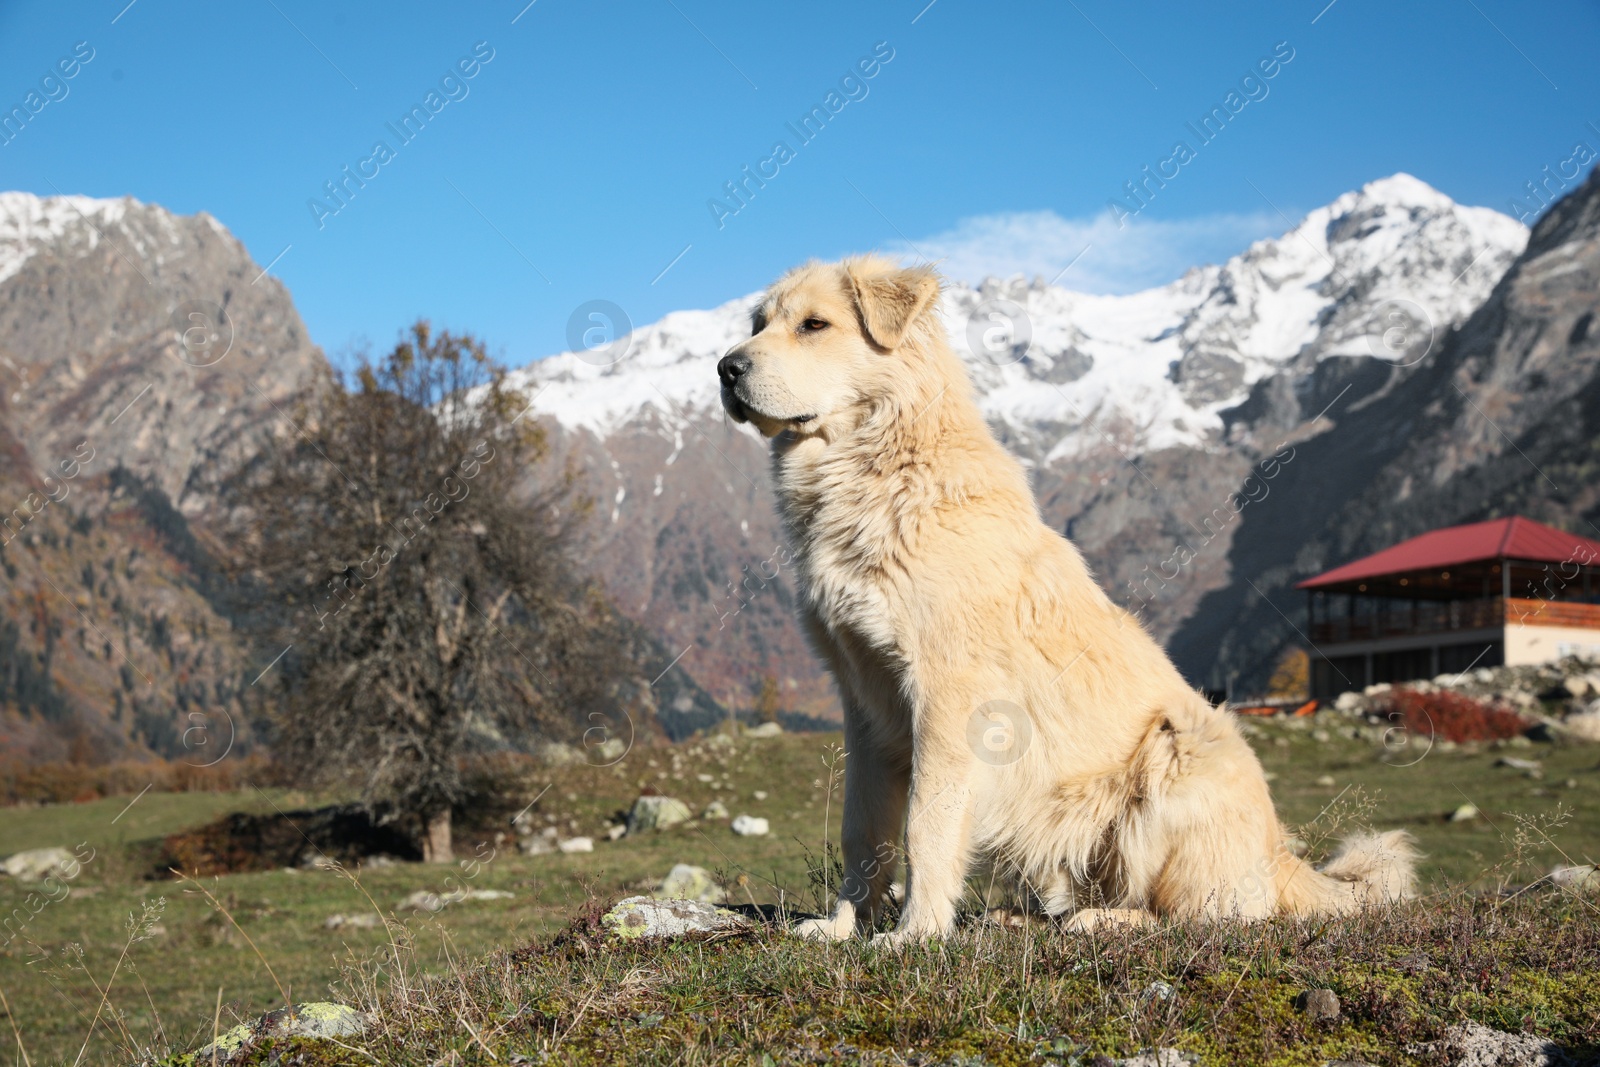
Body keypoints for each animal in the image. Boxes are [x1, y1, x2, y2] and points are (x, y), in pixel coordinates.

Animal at [720, 252, 1420, 940]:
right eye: (759, 323)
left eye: (815, 325)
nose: (726, 368)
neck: (880, 472)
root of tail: (1279, 857)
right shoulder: (863, 702)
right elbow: (862, 830)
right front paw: (843, 927)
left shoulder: (946, 698)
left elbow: (925, 826)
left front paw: (915, 935)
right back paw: (1017, 917)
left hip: (1181, 751)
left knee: (1206, 915)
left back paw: (1104, 921)